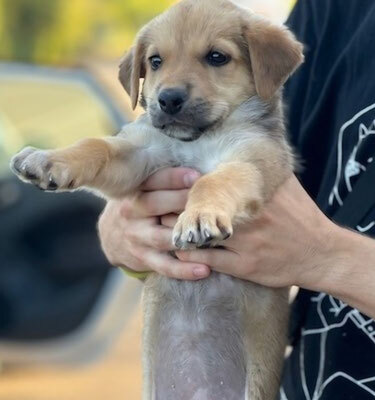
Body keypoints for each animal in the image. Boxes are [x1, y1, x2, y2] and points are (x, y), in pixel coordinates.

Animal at [11, 1, 306, 398]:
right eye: (154, 61)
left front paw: (199, 217)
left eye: (217, 57)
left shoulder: (250, 161)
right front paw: (46, 159)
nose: (167, 99)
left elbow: (214, 181)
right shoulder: (139, 156)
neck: (198, 139)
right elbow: (96, 145)